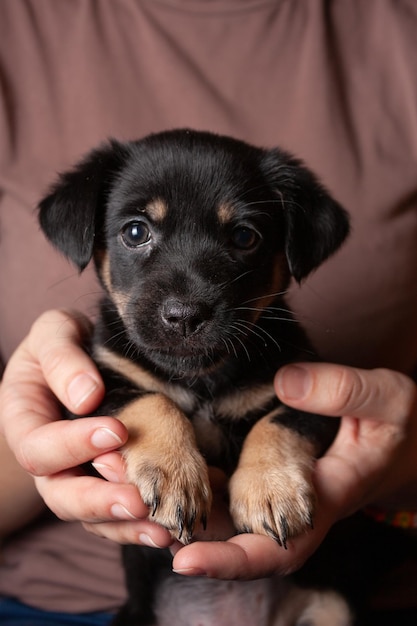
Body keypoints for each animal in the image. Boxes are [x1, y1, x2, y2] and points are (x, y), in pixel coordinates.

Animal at [39, 129, 350, 620]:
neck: (201, 377)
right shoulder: (90, 399)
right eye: (135, 232)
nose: (185, 316)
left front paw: (270, 489)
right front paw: (174, 475)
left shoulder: (313, 396)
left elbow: (278, 422)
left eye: (244, 236)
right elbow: (151, 399)